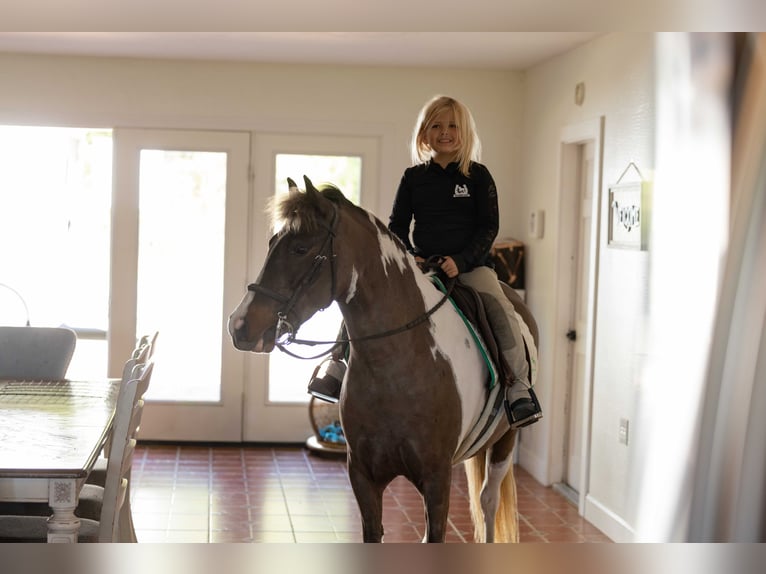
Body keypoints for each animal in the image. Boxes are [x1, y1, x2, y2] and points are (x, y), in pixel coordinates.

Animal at [228, 176, 539, 543]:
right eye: (272, 242)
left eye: (300, 249)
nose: (240, 325)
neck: (396, 367)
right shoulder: (363, 476)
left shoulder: (437, 480)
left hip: (505, 441)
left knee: (488, 500)